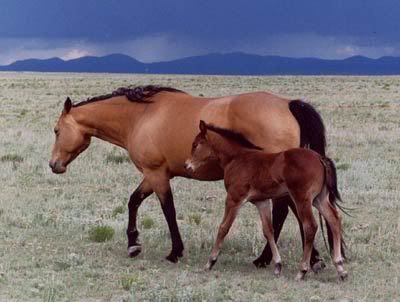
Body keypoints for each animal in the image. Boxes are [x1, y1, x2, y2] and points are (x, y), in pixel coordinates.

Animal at [49, 84, 338, 266]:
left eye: (56, 130)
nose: (54, 165)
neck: (140, 116)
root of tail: (288, 104)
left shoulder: (156, 174)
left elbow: (168, 210)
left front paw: (175, 251)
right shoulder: (154, 175)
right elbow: (134, 201)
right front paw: (133, 243)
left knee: (286, 212)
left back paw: (276, 259)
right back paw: (295, 259)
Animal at [186, 121, 346, 280]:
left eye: (195, 144)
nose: (187, 165)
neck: (236, 158)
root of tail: (320, 158)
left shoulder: (234, 198)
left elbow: (223, 227)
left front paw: (210, 262)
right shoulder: (261, 202)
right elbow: (268, 231)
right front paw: (277, 265)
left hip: (302, 198)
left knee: (310, 226)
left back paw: (302, 270)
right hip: (319, 198)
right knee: (334, 219)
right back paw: (340, 268)